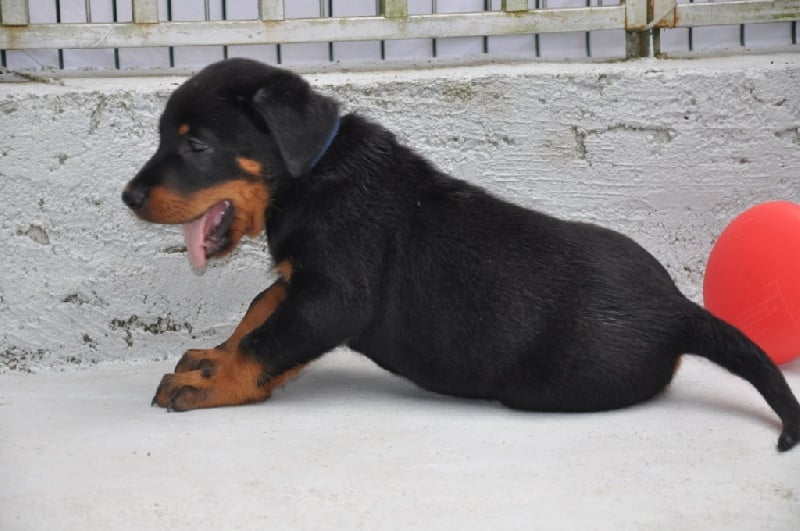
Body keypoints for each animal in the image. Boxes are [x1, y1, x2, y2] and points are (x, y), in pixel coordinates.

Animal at [122, 58, 800, 451]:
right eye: (161, 138)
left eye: (197, 146)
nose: (128, 196)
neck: (313, 173)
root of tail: (679, 310)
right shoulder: (298, 281)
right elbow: (257, 313)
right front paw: (211, 358)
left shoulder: (331, 296)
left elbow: (268, 340)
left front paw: (209, 384)